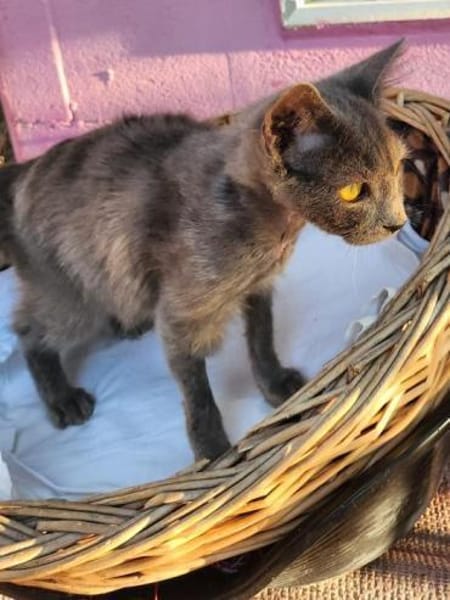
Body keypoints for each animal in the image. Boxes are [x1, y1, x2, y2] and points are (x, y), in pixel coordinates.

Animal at [0, 42, 407, 461]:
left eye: (397, 169)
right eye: (353, 192)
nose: (398, 222)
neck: (274, 227)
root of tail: (22, 170)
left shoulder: (259, 286)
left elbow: (261, 336)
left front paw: (275, 383)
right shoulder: (181, 314)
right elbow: (195, 388)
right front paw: (212, 450)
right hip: (66, 291)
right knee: (28, 329)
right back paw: (63, 398)